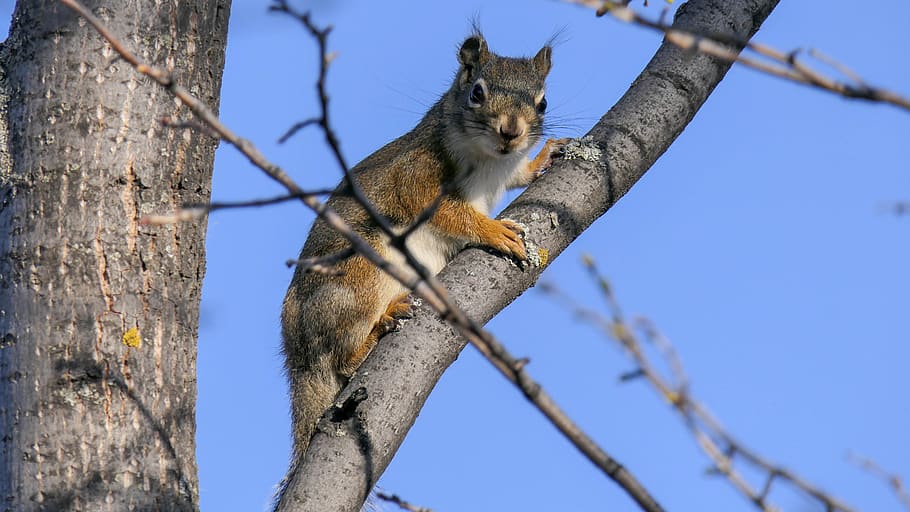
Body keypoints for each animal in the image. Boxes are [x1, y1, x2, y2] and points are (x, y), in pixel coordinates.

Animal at [280, 31, 565, 462]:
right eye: (477, 92)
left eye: (543, 102)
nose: (511, 132)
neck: (490, 161)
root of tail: (298, 355)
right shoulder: (416, 172)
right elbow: (441, 209)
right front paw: (492, 230)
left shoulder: (506, 169)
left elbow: (521, 173)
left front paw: (547, 153)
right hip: (357, 278)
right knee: (341, 359)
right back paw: (380, 325)